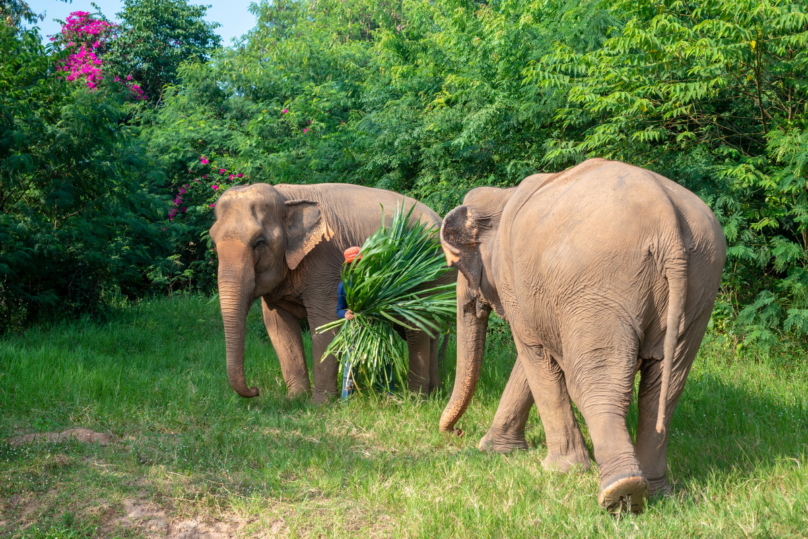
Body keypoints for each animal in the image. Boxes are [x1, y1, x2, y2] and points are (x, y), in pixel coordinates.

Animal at [208, 184, 448, 402]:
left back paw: (416, 398)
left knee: (417, 326)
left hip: (428, 271)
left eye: (259, 242)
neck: (285, 197)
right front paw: (295, 399)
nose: (255, 390)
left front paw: (319, 404)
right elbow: (278, 326)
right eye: (214, 241)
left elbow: (324, 323)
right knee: (429, 330)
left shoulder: (323, 260)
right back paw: (434, 391)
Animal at [438, 159, 728, 516]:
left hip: (600, 284)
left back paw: (621, 492)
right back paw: (655, 491)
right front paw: (497, 450)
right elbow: (533, 359)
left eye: (456, 265)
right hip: (701, 282)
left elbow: (532, 352)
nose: (455, 432)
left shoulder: (513, 279)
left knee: (598, 382)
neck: (502, 196)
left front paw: (559, 469)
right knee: (666, 385)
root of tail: (666, 219)